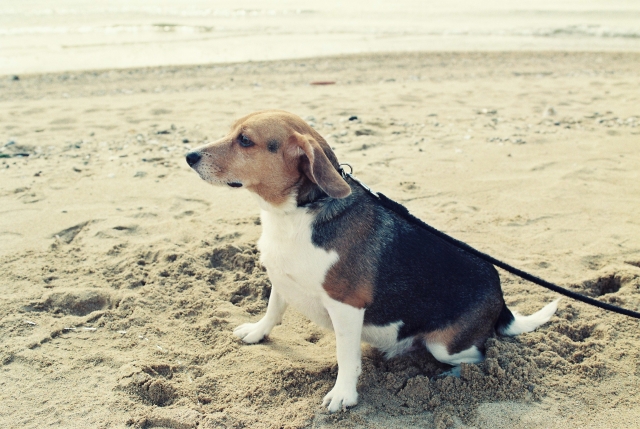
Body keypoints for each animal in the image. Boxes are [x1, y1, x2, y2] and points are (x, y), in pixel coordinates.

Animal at [186, 110, 560, 412]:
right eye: (231, 131)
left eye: (245, 140)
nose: (188, 156)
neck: (295, 215)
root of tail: (501, 300)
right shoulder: (282, 278)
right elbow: (273, 310)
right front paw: (257, 332)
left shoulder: (346, 307)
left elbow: (346, 358)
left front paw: (343, 395)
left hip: (444, 345)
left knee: (476, 357)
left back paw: (450, 375)